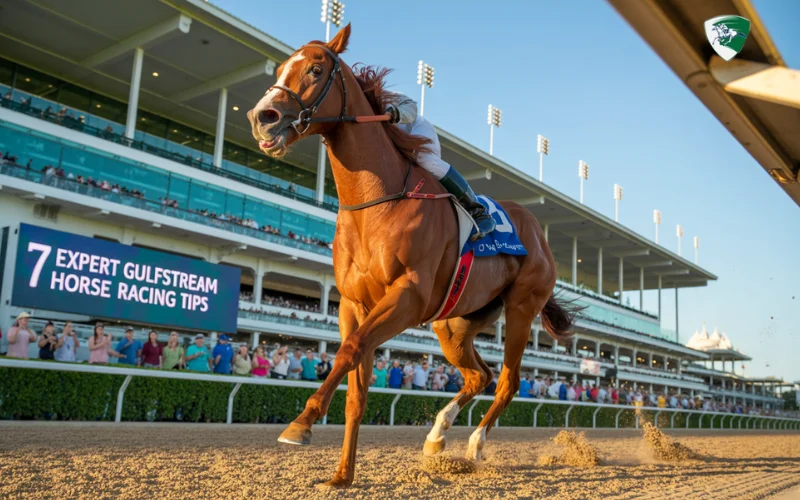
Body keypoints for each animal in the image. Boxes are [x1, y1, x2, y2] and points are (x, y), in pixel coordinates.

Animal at [247, 24, 576, 488]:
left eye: (314, 69)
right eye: (279, 70)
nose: (262, 116)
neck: (375, 202)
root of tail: (538, 233)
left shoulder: (407, 297)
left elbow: (348, 351)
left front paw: (302, 423)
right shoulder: (355, 304)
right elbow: (356, 385)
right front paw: (342, 475)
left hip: (520, 308)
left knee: (508, 381)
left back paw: (475, 444)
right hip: (453, 323)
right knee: (479, 374)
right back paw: (437, 436)